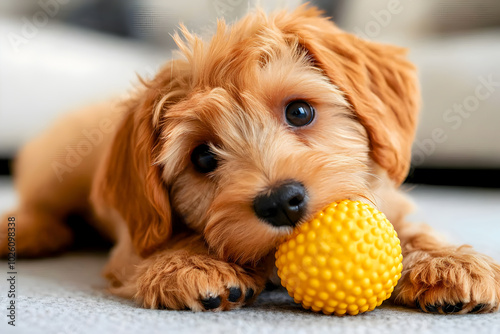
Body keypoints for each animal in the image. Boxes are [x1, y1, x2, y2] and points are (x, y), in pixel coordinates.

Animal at [0, 5, 500, 314]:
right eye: (203, 156)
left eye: (300, 111)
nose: (280, 201)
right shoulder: (133, 240)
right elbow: (165, 241)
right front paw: (191, 265)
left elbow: (412, 228)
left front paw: (447, 261)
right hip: (57, 169)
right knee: (36, 203)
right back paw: (28, 231)